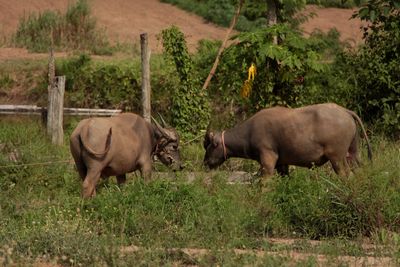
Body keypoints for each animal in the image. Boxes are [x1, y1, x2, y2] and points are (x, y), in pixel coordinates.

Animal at [205, 102, 374, 180]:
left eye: (209, 146)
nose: (205, 163)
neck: (249, 132)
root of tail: (345, 111)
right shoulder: (282, 165)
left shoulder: (268, 160)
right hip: (353, 153)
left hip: (337, 158)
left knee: (345, 175)